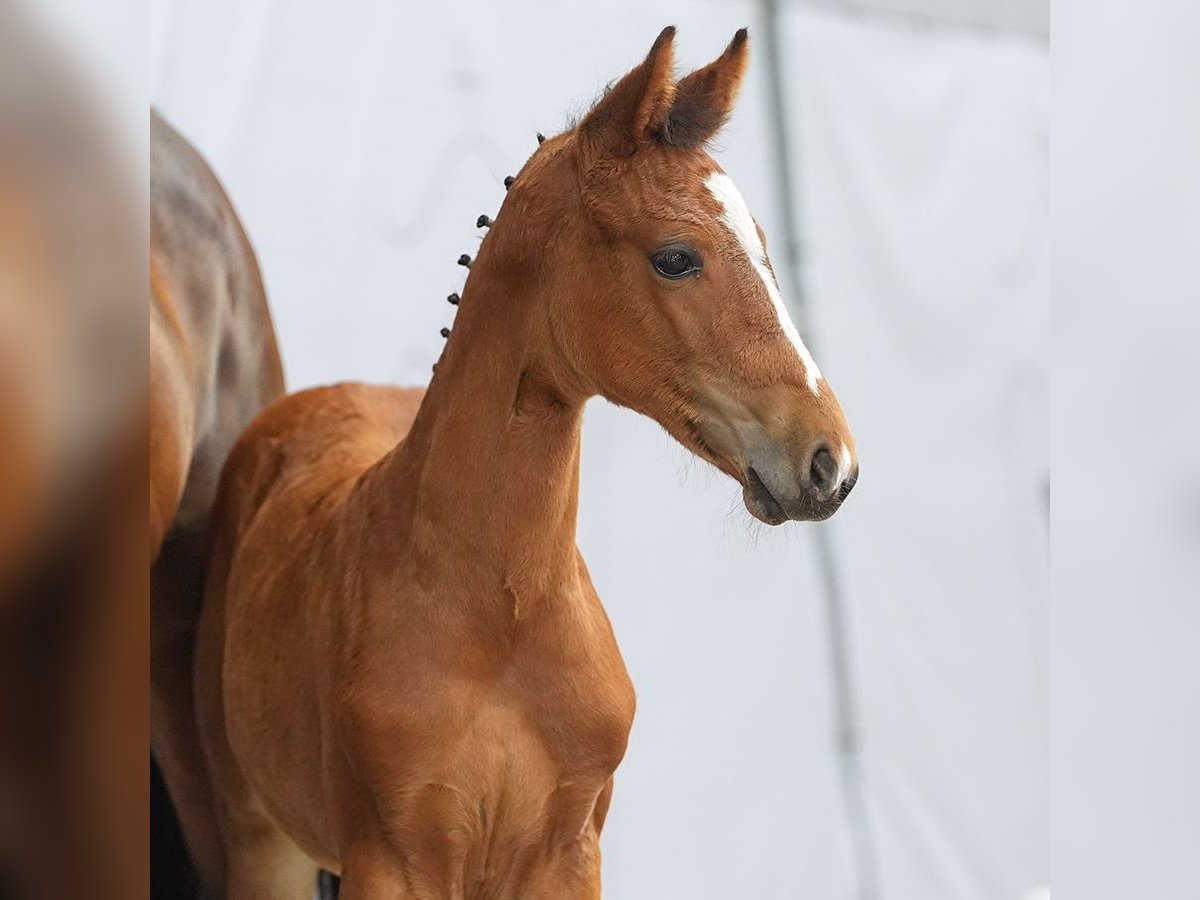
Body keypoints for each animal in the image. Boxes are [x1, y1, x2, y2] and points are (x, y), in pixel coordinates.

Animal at [194, 28, 854, 900]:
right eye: (676, 258)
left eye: (769, 251)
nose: (829, 460)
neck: (504, 617)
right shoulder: (395, 861)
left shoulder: (567, 855)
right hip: (260, 841)